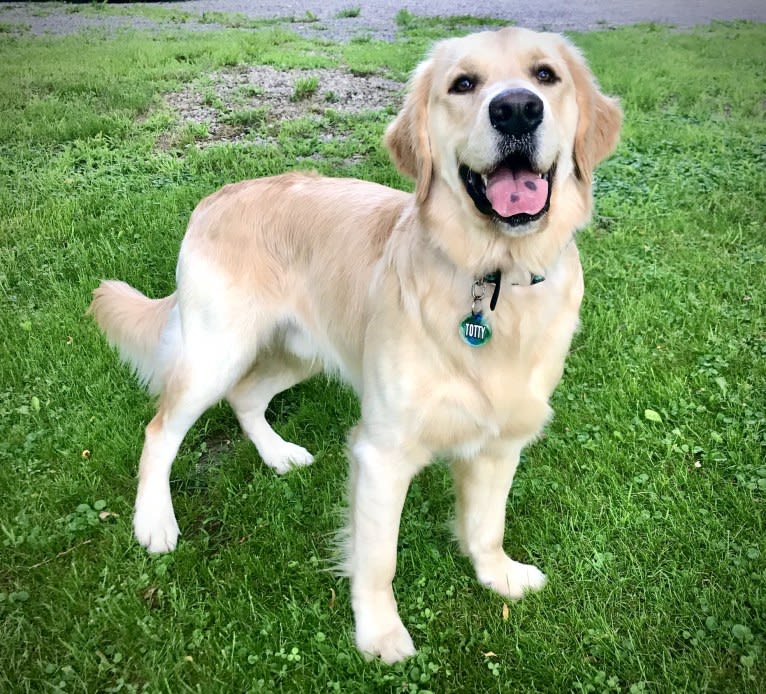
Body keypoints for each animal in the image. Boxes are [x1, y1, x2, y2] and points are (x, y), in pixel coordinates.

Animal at [90, 27, 620, 668]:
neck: (493, 276)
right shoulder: (382, 453)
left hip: (301, 351)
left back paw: (278, 454)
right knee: (161, 429)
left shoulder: (501, 439)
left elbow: (486, 525)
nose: (516, 108)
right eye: (463, 83)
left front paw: (498, 575)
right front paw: (379, 634)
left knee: (246, 398)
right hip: (218, 351)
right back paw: (154, 522)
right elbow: (377, 559)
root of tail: (216, 197)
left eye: (546, 75)